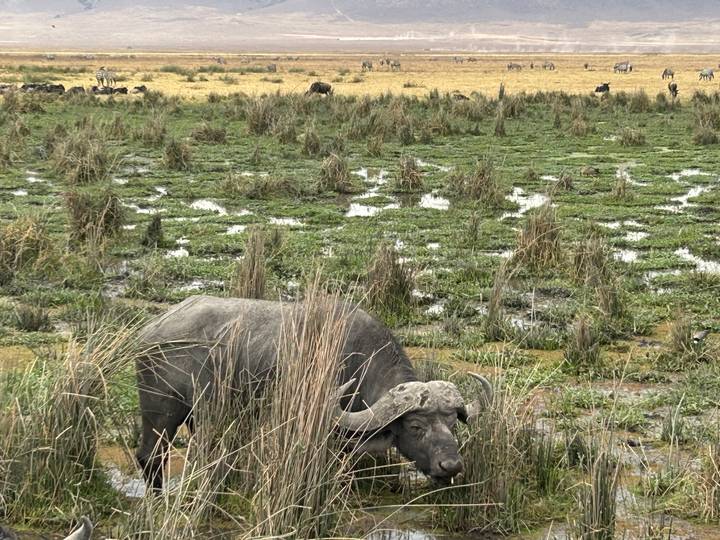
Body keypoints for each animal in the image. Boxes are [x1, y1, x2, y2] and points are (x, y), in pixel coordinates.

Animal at [135, 296, 493, 489]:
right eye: (416, 427)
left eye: (453, 423)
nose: (451, 466)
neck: (358, 360)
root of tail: (151, 331)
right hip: (161, 413)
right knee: (150, 457)